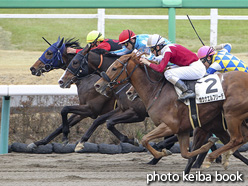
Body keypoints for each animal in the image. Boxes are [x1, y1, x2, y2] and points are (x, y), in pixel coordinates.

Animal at [95, 53, 248, 169]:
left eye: (114, 68)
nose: (98, 85)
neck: (157, 91)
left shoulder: (170, 126)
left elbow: (145, 140)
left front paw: (160, 153)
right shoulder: (183, 129)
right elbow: (186, 153)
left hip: (231, 115)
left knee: (237, 139)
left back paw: (212, 157)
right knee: (240, 139)